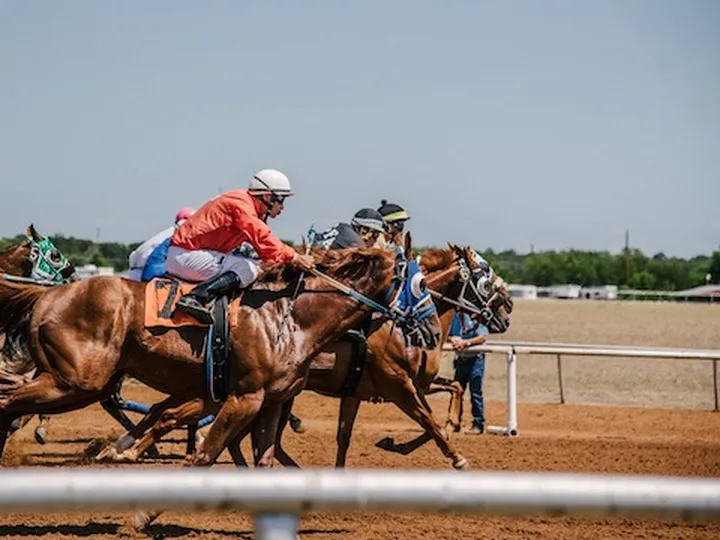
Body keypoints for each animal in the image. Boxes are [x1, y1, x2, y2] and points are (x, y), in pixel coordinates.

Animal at [0, 246, 440, 473]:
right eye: (420, 284)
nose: (435, 332)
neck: (292, 317)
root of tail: (48, 294)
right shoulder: (245, 396)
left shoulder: (269, 399)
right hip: (75, 382)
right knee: (10, 401)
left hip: (88, 382)